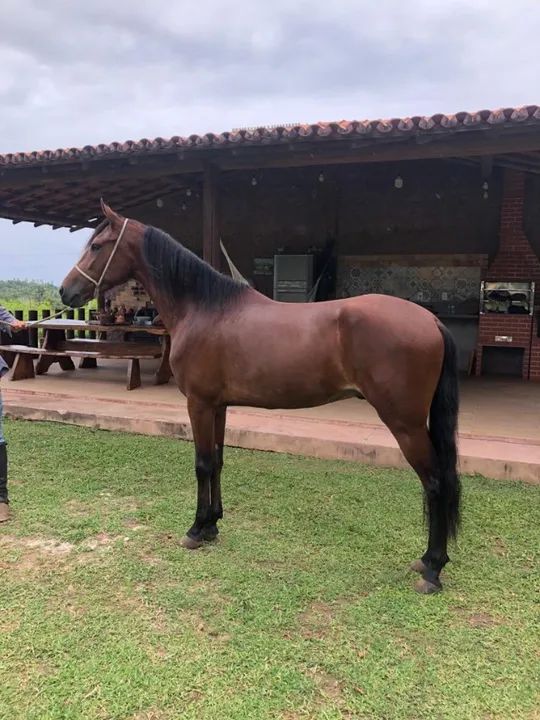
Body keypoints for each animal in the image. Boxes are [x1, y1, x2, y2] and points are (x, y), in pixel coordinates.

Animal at [60, 201, 461, 594]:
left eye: (97, 246)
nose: (66, 292)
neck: (205, 309)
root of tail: (430, 320)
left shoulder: (198, 404)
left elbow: (202, 464)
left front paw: (195, 530)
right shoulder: (218, 406)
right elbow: (218, 461)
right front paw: (212, 525)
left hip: (405, 424)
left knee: (435, 483)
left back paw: (432, 569)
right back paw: (427, 561)